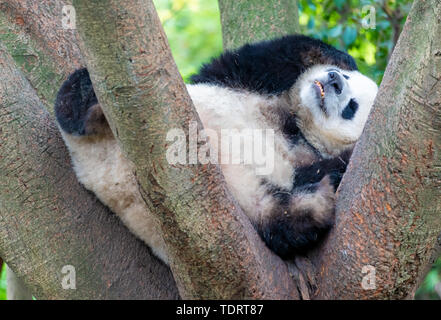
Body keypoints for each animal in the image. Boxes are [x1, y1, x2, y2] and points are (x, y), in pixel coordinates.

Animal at [54, 35, 378, 264]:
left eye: (351, 107)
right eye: (347, 80)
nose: (334, 80)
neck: (295, 124)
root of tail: (109, 179)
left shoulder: (304, 158)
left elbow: (325, 169)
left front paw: (336, 169)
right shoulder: (246, 80)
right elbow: (268, 55)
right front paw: (339, 58)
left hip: (253, 203)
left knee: (280, 223)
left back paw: (317, 202)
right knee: (75, 98)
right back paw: (92, 103)